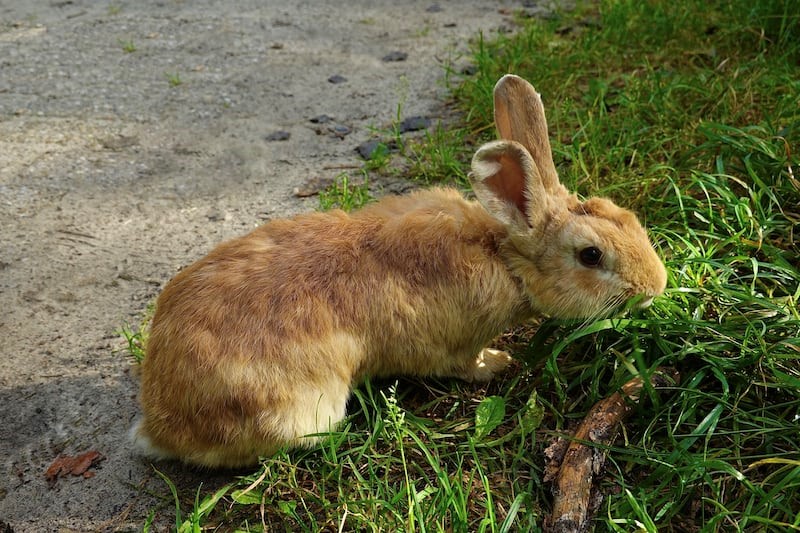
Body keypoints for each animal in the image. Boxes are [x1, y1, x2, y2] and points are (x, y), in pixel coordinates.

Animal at [132, 74, 667, 468]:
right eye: (591, 255)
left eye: (619, 213)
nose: (655, 285)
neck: (502, 254)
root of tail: (160, 424)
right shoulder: (452, 344)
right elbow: (462, 364)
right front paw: (497, 363)